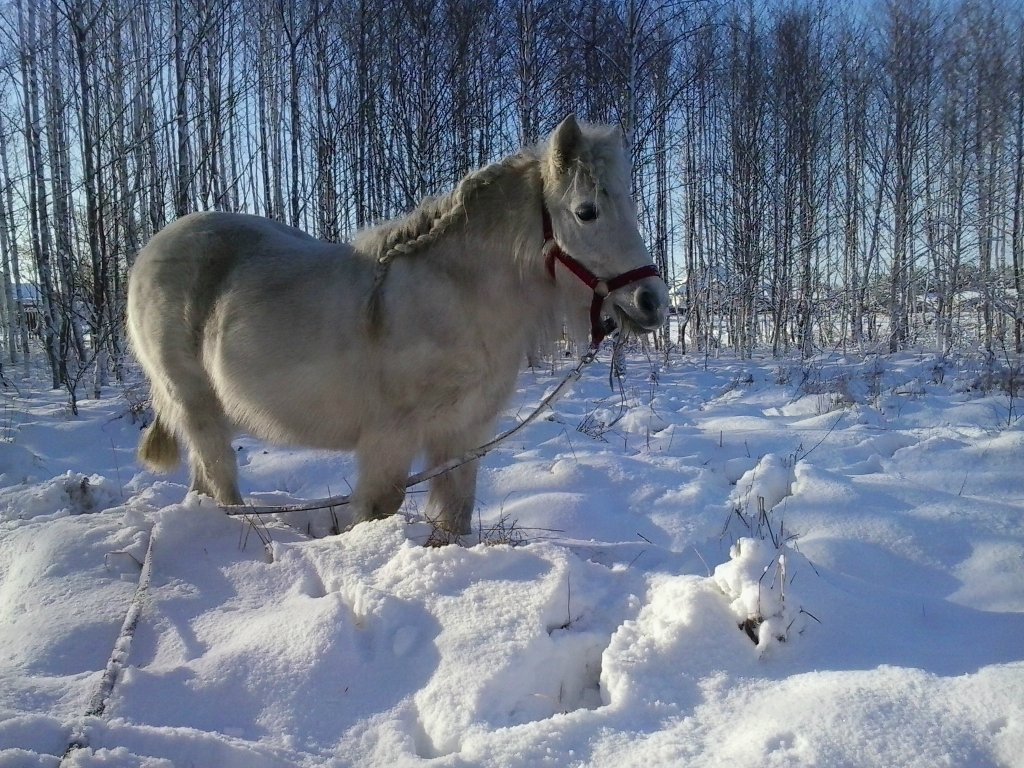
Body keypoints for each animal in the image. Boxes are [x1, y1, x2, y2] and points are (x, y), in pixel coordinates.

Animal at [128, 115, 667, 536]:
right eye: (586, 212)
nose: (653, 301)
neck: (455, 297)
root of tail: (149, 253)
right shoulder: (390, 440)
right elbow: (378, 510)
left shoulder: (463, 435)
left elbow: (455, 518)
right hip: (198, 407)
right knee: (221, 484)